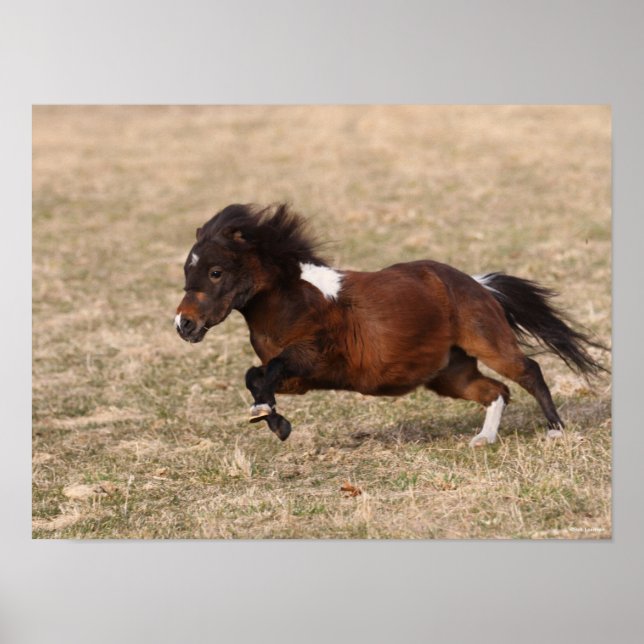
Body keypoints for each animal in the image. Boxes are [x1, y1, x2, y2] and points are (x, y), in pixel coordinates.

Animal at [174, 203, 607, 446]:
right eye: (186, 271)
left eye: (215, 271)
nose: (184, 324)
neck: (292, 300)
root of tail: (476, 284)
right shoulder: (301, 380)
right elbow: (255, 376)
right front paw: (273, 420)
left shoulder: (312, 357)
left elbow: (267, 371)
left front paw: (270, 418)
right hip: (450, 374)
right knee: (496, 391)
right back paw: (483, 439)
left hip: (487, 342)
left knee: (527, 372)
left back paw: (555, 430)